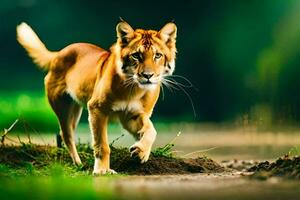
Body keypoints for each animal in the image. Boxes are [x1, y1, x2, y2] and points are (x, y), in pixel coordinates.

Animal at [16, 19, 177, 174]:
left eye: (158, 55)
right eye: (136, 55)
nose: (148, 75)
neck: (134, 89)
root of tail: (59, 53)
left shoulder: (132, 116)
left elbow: (151, 130)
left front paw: (140, 152)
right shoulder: (96, 109)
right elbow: (101, 144)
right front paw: (101, 170)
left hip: (75, 110)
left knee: (62, 133)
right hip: (62, 107)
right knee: (67, 135)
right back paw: (79, 164)